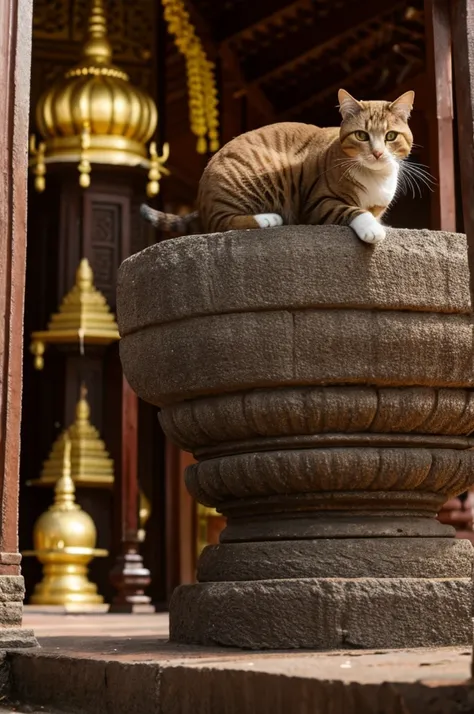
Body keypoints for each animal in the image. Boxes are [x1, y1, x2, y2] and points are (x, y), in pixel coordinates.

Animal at [141, 89, 414, 246]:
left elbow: (374, 213)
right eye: (361, 135)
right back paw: (268, 218)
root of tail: (201, 200)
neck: (376, 178)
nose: (377, 153)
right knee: (221, 222)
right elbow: (353, 210)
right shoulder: (317, 201)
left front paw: (382, 224)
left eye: (390, 136)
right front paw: (372, 229)